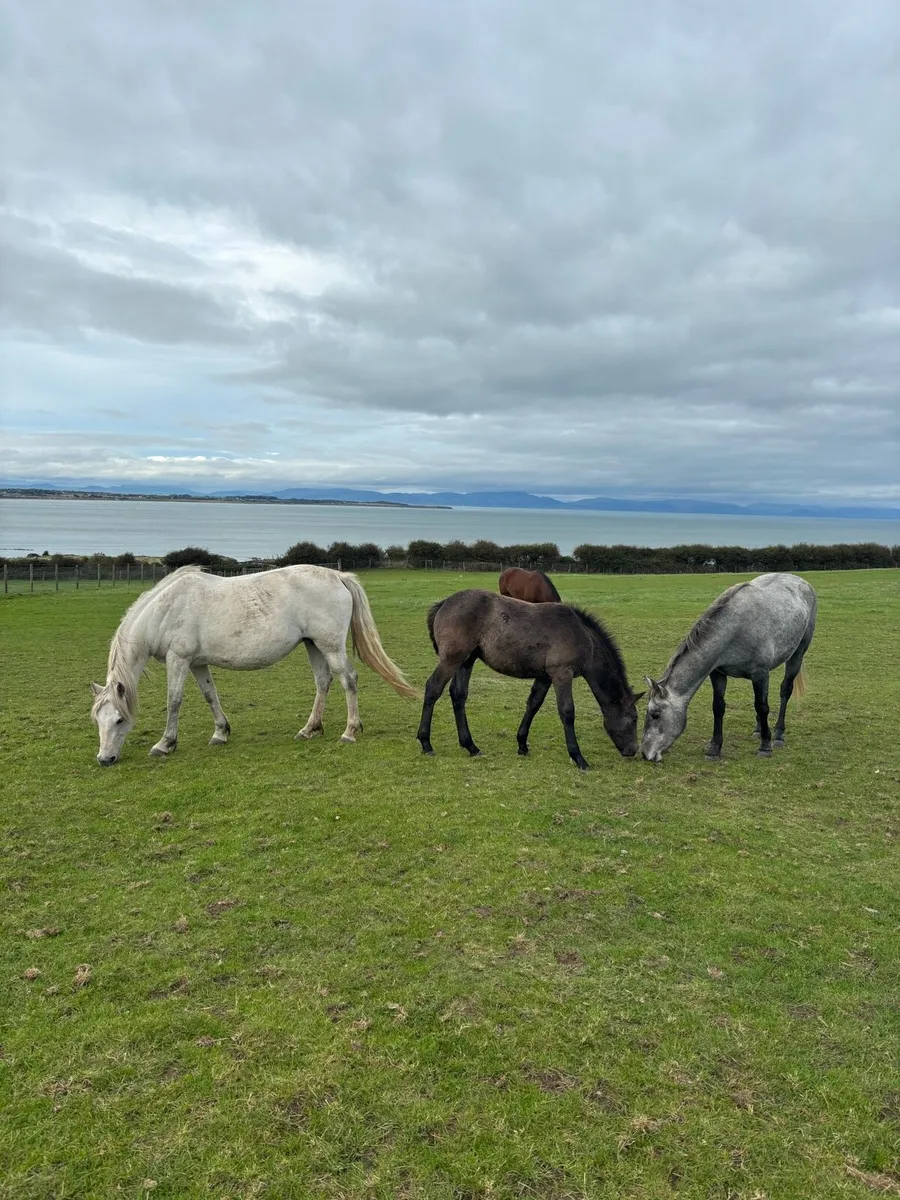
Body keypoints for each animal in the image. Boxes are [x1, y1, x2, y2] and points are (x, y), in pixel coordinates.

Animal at [90, 565, 417, 766]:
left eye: (119, 720)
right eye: (97, 720)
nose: (105, 759)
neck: (165, 609)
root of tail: (338, 576)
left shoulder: (178, 659)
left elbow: (174, 701)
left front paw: (165, 744)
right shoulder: (197, 663)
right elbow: (210, 696)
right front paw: (220, 733)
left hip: (330, 645)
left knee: (348, 679)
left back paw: (349, 731)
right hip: (313, 644)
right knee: (323, 682)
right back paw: (309, 729)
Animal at [416, 589, 643, 770]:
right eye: (634, 718)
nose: (633, 750)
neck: (582, 636)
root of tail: (444, 603)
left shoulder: (545, 676)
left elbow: (533, 704)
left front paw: (522, 745)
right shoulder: (562, 673)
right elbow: (567, 712)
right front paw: (578, 757)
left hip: (467, 660)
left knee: (458, 695)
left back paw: (471, 746)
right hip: (452, 659)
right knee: (433, 688)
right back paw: (426, 743)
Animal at [640, 572, 817, 763]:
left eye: (655, 714)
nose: (645, 753)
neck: (736, 628)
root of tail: (802, 582)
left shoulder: (760, 673)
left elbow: (762, 706)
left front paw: (765, 746)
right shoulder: (718, 673)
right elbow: (718, 707)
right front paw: (714, 748)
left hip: (797, 654)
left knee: (785, 690)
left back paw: (778, 735)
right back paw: (758, 729)